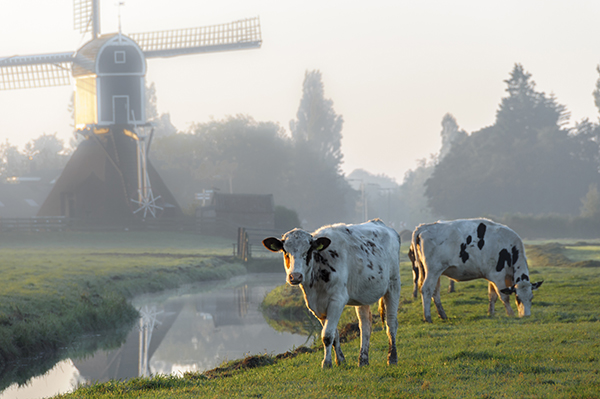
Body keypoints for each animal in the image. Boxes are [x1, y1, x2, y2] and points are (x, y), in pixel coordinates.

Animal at [264, 220, 400, 370]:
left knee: (391, 323)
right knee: (365, 325)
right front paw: (340, 360)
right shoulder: (316, 306)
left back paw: (392, 358)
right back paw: (363, 360)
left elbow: (327, 335)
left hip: (393, 284)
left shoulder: (337, 300)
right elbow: (334, 334)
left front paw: (326, 363)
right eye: (285, 252)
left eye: (308, 251)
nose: (295, 276)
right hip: (362, 295)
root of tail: (379, 222)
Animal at [408, 219, 544, 324]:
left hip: (434, 272)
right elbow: (504, 296)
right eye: (518, 298)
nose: (526, 315)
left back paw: (443, 315)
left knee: (435, 292)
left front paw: (491, 313)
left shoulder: (492, 275)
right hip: (433, 270)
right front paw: (511, 314)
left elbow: (492, 295)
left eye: (531, 298)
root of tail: (424, 226)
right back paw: (427, 317)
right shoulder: (497, 275)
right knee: (427, 289)